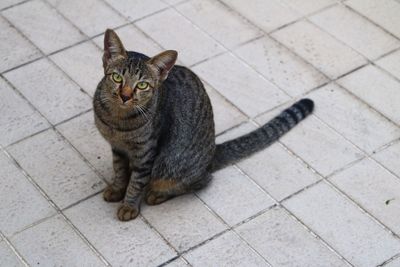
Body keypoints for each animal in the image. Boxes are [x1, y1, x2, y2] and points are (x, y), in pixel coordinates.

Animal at [94, 28, 316, 222]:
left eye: (142, 85)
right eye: (117, 77)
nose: (125, 96)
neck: (117, 120)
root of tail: (212, 153)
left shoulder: (146, 154)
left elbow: (136, 182)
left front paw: (129, 205)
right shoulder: (117, 148)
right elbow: (120, 171)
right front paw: (117, 189)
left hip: (170, 165)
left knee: (197, 181)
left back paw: (157, 194)